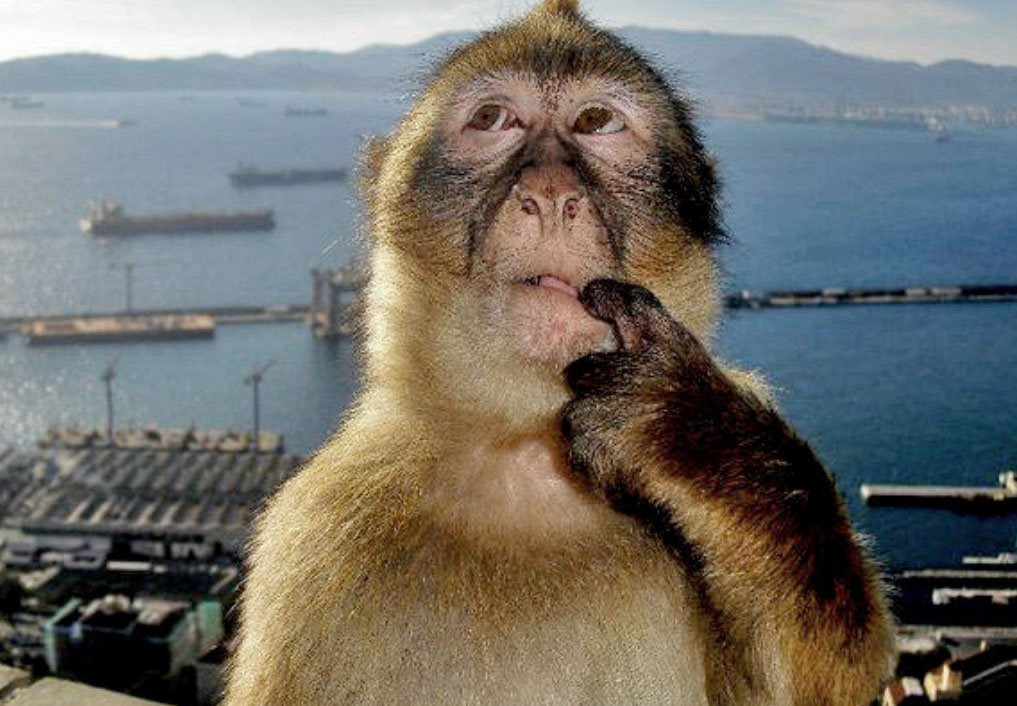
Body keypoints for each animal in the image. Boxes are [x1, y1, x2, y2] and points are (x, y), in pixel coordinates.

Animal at [224, 1, 894, 704]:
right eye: (493, 119)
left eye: (596, 122)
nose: (549, 196)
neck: (527, 452)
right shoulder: (313, 542)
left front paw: (685, 430)